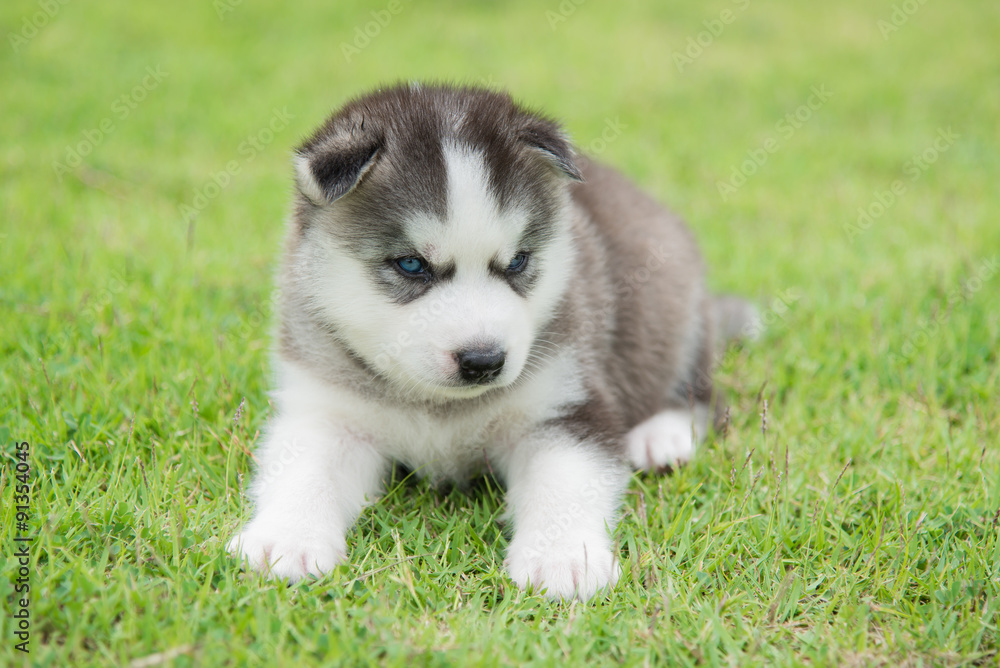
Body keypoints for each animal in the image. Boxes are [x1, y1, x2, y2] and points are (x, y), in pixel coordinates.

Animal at [230, 82, 752, 600]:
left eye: (518, 261)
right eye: (411, 264)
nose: (483, 361)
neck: (438, 407)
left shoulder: (565, 403)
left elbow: (565, 481)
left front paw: (563, 557)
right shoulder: (324, 409)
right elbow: (301, 471)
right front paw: (286, 539)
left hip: (674, 313)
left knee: (706, 397)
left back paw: (660, 437)